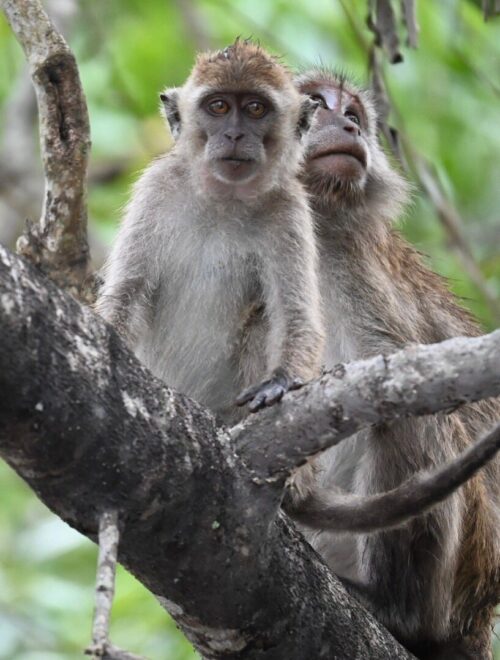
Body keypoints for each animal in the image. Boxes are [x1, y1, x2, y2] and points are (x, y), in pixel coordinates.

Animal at [95, 40, 324, 427]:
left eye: (255, 109)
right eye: (218, 106)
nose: (234, 134)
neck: (224, 201)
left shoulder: (289, 210)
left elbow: (294, 314)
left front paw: (280, 380)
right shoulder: (156, 189)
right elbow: (128, 292)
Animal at [283, 68, 500, 660]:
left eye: (352, 110)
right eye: (316, 101)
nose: (349, 124)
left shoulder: (363, 275)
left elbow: (397, 376)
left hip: (467, 573)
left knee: (410, 419)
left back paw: (397, 608)